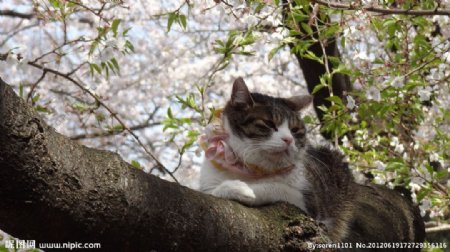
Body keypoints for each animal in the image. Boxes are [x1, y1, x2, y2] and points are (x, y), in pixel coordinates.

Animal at [198, 77, 426, 248]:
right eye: (268, 124)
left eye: (295, 130)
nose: (288, 139)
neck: (251, 169)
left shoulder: (309, 202)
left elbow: (275, 187)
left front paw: (236, 188)